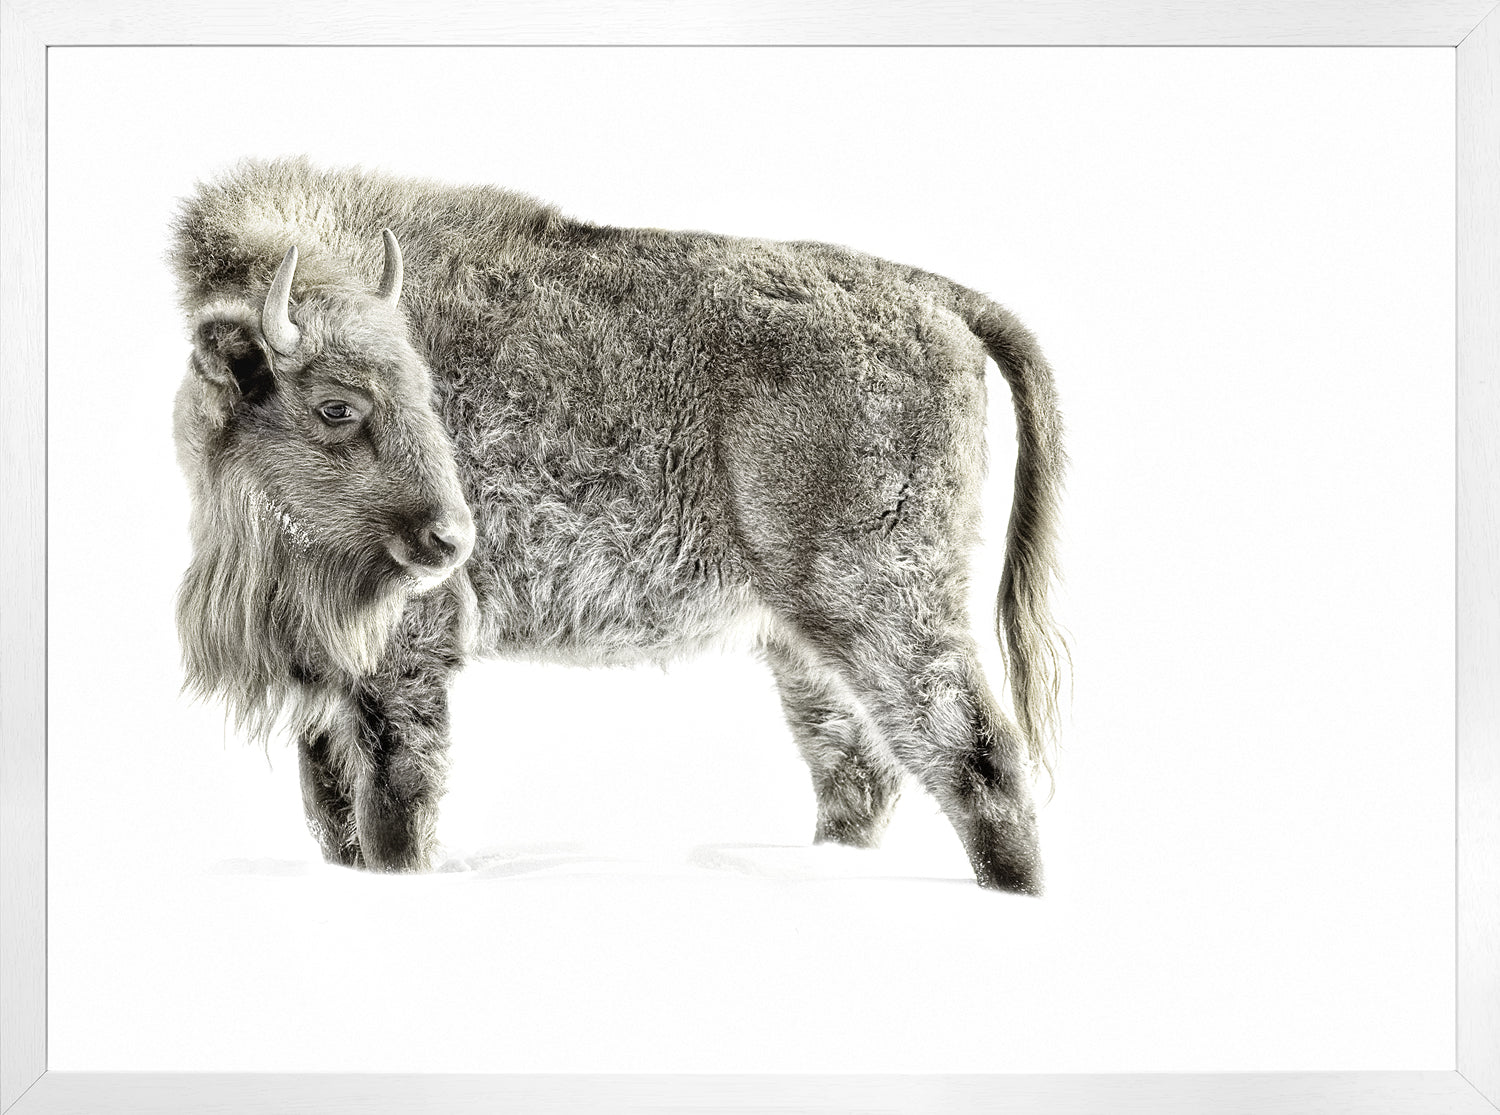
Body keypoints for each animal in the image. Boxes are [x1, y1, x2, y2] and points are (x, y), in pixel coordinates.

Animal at [171, 158, 1066, 892]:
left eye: (425, 392)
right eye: (336, 406)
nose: (453, 539)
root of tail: (935, 296)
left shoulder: (401, 667)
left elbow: (393, 817)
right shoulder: (325, 689)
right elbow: (335, 823)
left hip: (880, 601)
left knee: (976, 756)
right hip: (797, 638)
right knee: (859, 771)